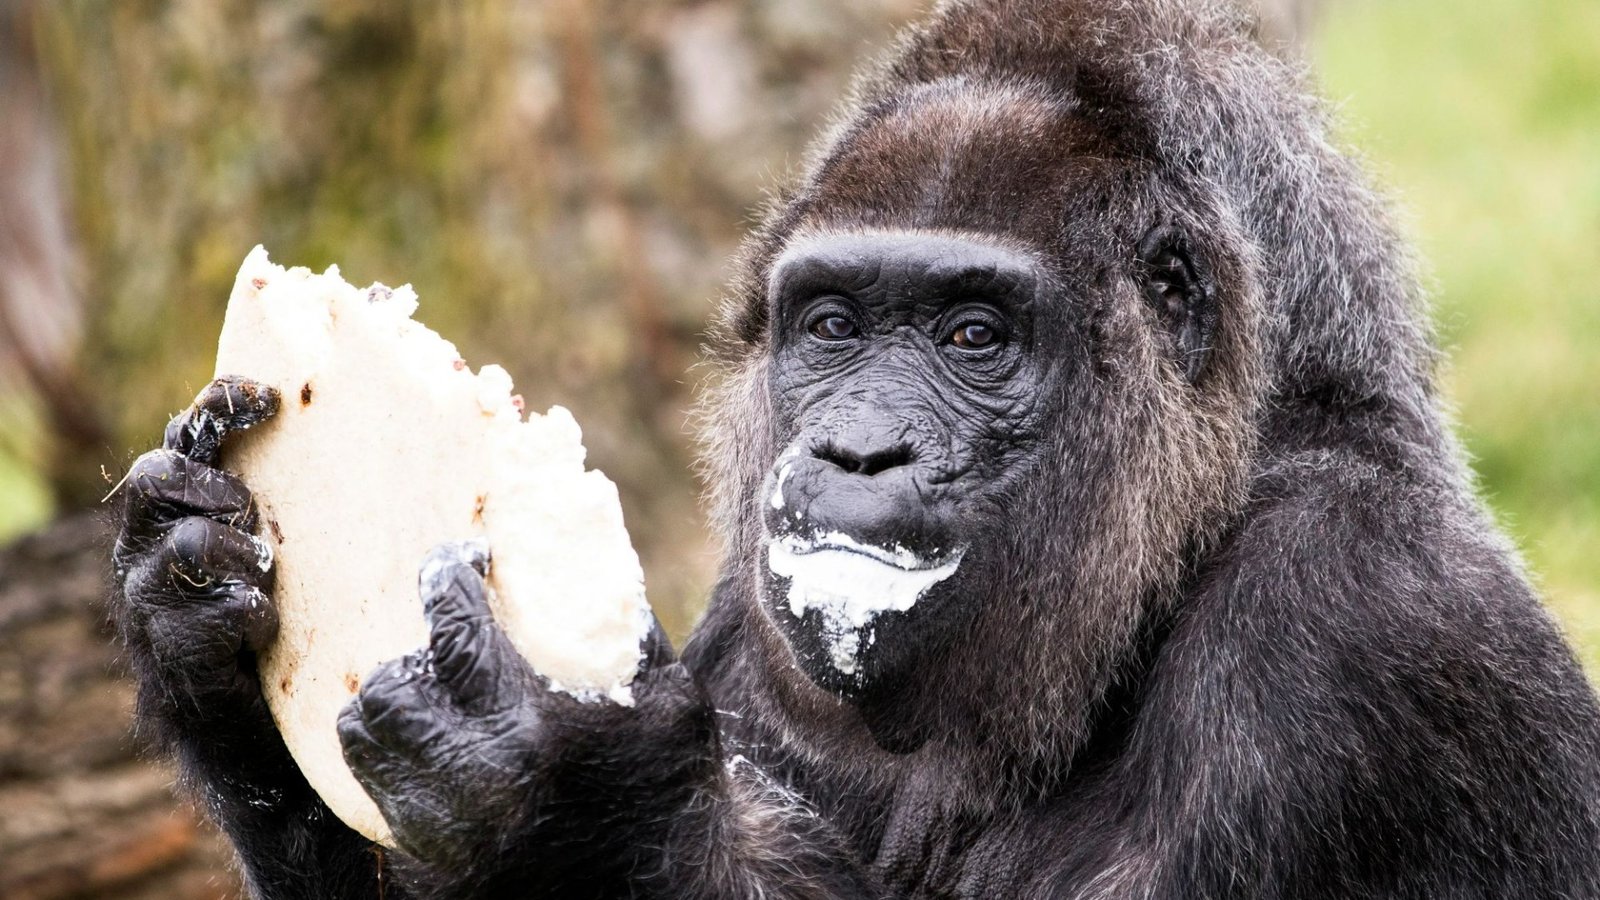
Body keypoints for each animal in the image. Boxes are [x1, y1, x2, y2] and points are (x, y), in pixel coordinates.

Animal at [109, 0, 1600, 890]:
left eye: (973, 335)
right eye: (831, 326)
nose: (861, 452)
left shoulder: (1351, 619)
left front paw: (565, 780)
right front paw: (198, 621)